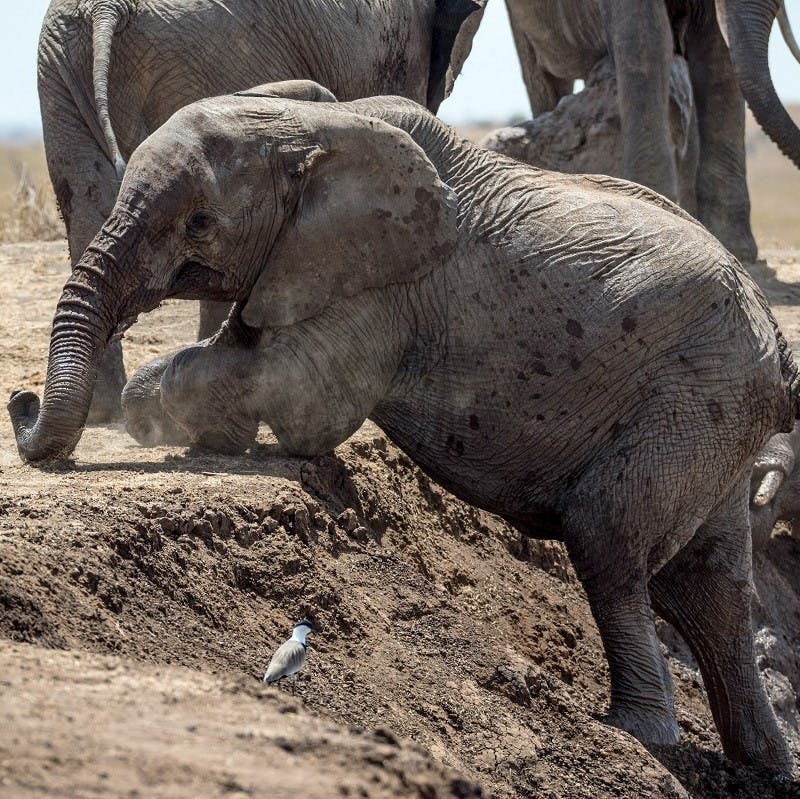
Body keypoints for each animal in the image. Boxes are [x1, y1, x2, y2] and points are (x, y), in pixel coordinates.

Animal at [7, 83, 800, 776]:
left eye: (199, 222)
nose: (19, 403)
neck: (312, 126)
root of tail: (774, 339)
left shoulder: (387, 285)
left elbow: (301, 395)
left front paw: (154, 413)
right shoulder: (300, 263)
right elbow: (244, 352)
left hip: (693, 394)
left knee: (609, 541)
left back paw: (638, 733)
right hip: (713, 415)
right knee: (709, 586)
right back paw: (763, 762)